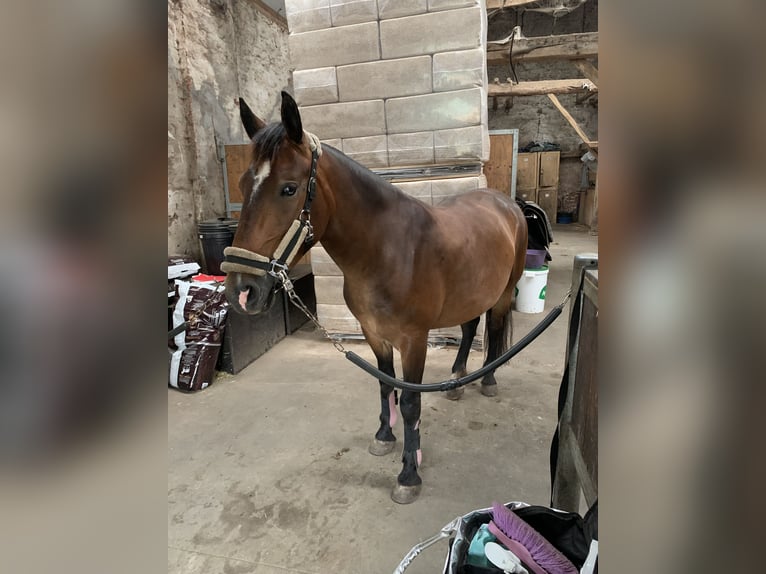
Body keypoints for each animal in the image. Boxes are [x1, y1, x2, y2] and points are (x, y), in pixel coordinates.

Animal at [223, 91, 527, 504]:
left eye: (288, 188)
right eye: (242, 184)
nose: (242, 290)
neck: (388, 251)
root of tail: (505, 203)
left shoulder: (414, 340)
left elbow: (411, 402)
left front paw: (409, 474)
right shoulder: (373, 333)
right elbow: (385, 384)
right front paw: (385, 436)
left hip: (503, 292)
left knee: (493, 331)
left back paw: (489, 380)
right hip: (471, 294)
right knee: (468, 329)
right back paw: (458, 379)